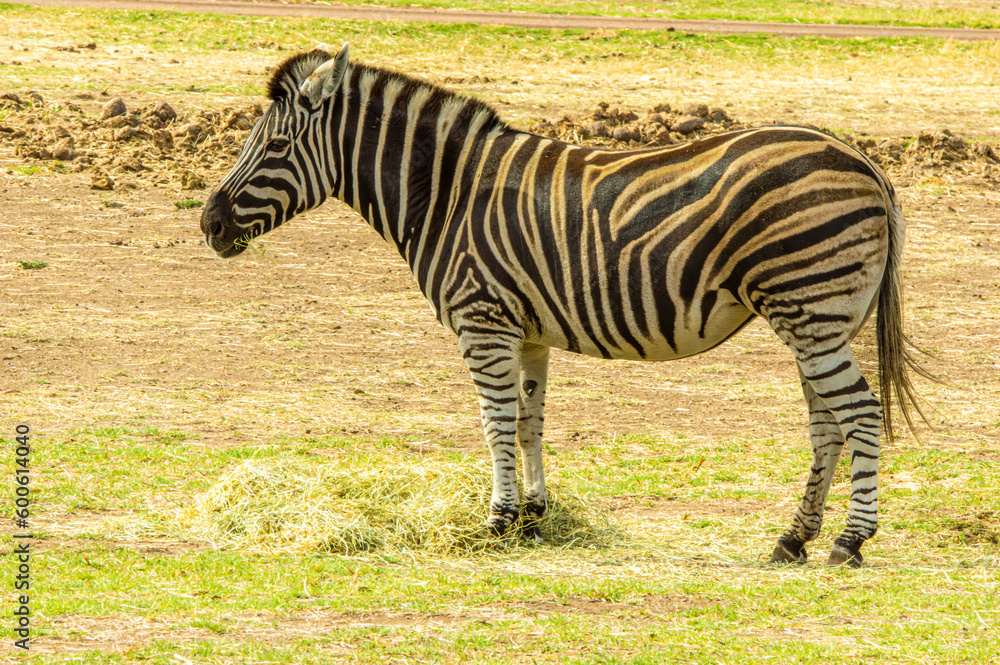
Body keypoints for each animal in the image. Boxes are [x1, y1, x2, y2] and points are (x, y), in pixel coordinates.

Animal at [200, 45, 928, 566]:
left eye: (273, 146)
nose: (209, 223)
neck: (445, 192)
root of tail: (865, 160)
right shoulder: (527, 331)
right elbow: (529, 422)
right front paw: (533, 516)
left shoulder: (482, 321)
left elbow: (494, 423)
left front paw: (496, 520)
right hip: (814, 320)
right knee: (827, 422)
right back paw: (793, 538)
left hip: (811, 311)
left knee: (859, 412)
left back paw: (851, 540)